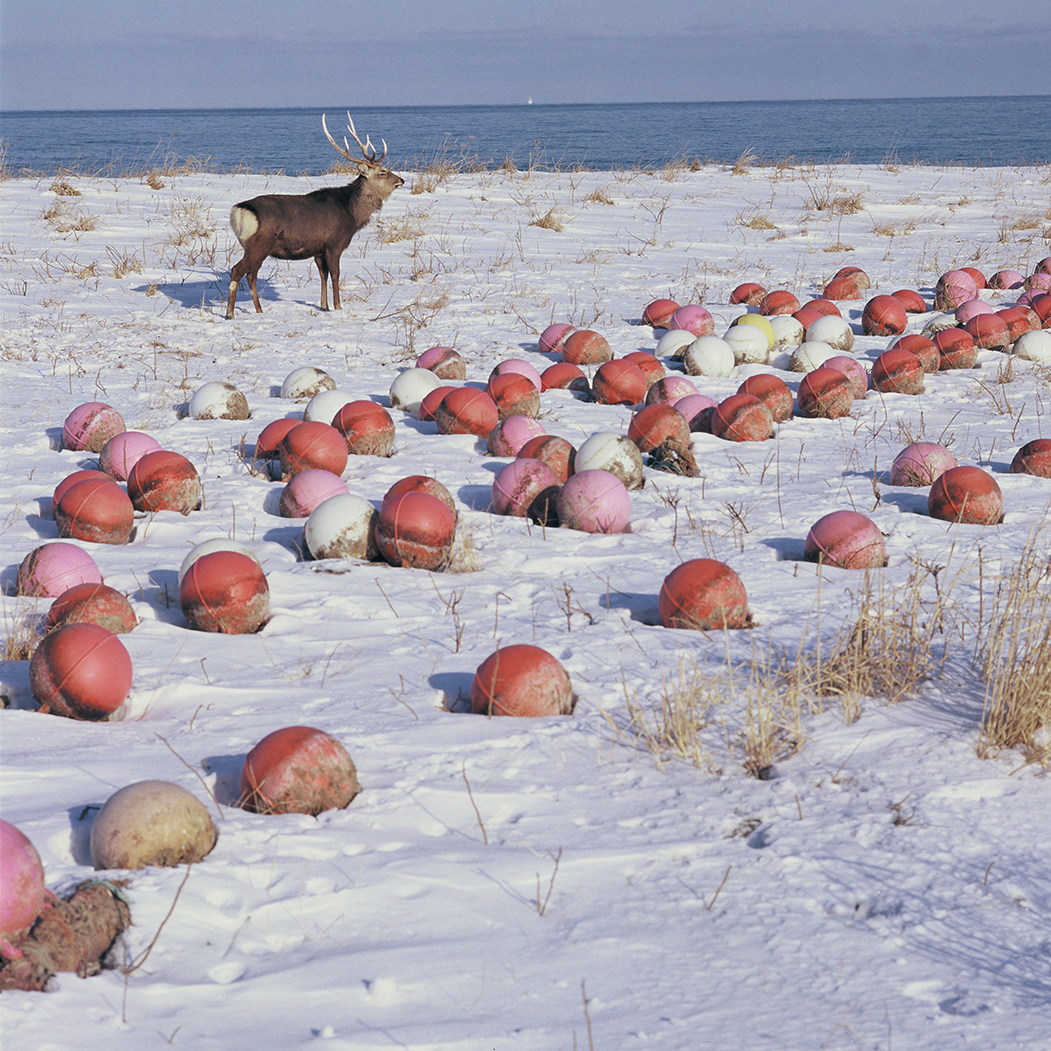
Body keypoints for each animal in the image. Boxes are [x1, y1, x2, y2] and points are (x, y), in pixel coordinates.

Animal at [228, 113, 403, 315]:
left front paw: (324, 306)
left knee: (251, 275)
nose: (401, 180)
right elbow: (335, 275)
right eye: (383, 173)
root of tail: (238, 211)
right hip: (258, 245)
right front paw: (338, 306)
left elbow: (323, 275)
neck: (352, 214)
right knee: (237, 270)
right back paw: (229, 314)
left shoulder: (318, 249)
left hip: (257, 248)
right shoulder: (334, 243)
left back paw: (259, 310)